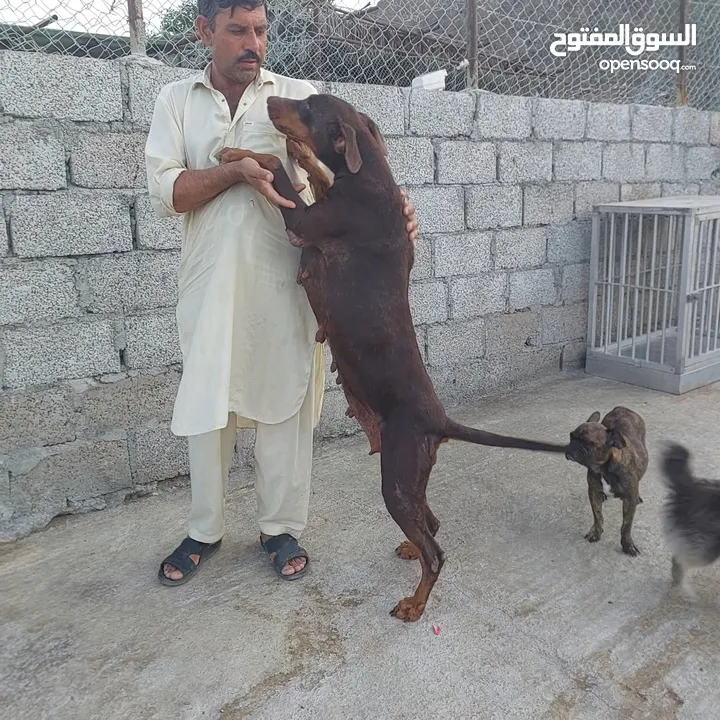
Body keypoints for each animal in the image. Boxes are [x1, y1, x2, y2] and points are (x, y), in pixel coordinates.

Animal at [218, 93, 568, 620]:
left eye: (308, 105)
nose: (273, 99)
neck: (368, 178)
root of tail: (438, 418)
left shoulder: (303, 222)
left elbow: (274, 170)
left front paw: (243, 155)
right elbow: (312, 173)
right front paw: (301, 154)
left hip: (396, 480)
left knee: (437, 552)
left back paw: (415, 604)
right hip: (412, 477)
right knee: (432, 525)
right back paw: (410, 552)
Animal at [568, 404, 648, 556]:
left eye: (587, 443)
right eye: (570, 436)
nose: (571, 446)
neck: (604, 468)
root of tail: (621, 408)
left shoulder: (629, 500)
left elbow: (626, 526)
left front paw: (627, 545)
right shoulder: (593, 491)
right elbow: (598, 516)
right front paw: (596, 532)